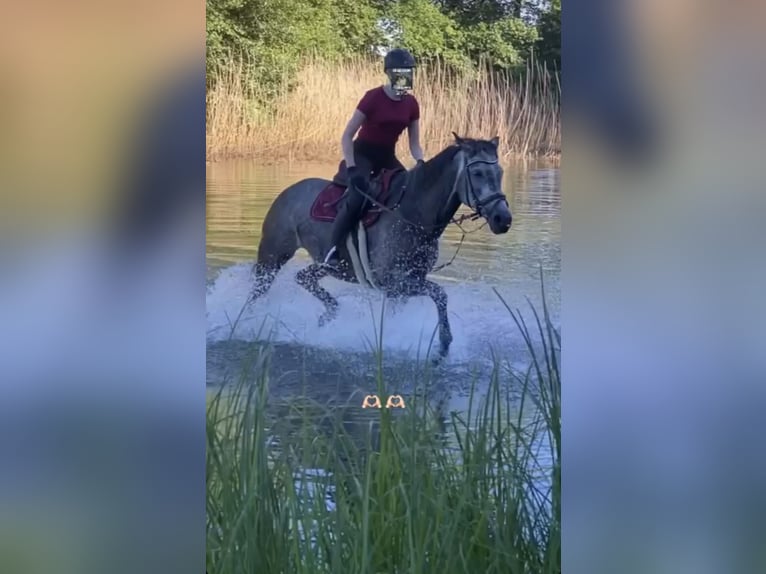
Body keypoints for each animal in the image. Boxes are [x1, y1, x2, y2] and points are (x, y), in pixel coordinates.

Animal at [247, 133, 513, 361]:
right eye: (477, 173)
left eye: (499, 172)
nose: (503, 219)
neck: (414, 213)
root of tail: (288, 191)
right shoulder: (397, 282)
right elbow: (440, 294)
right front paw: (443, 345)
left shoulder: (403, 287)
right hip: (272, 256)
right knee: (258, 291)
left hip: (325, 266)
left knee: (303, 278)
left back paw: (328, 315)